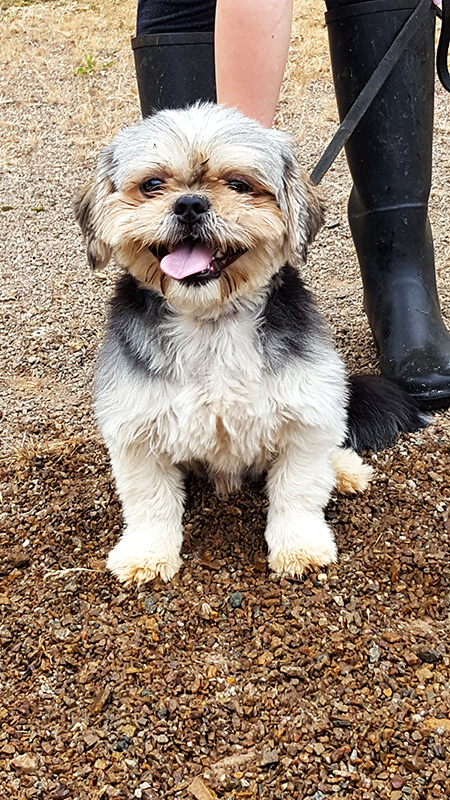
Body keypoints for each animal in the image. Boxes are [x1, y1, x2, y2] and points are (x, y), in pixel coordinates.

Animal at [74, 103, 428, 584]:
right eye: (152, 185)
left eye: (239, 184)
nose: (189, 204)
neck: (212, 322)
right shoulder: (137, 430)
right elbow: (149, 502)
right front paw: (146, 553)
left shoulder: (306, 415)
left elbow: (298, 490)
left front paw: (299, 546)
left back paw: (344, 469)